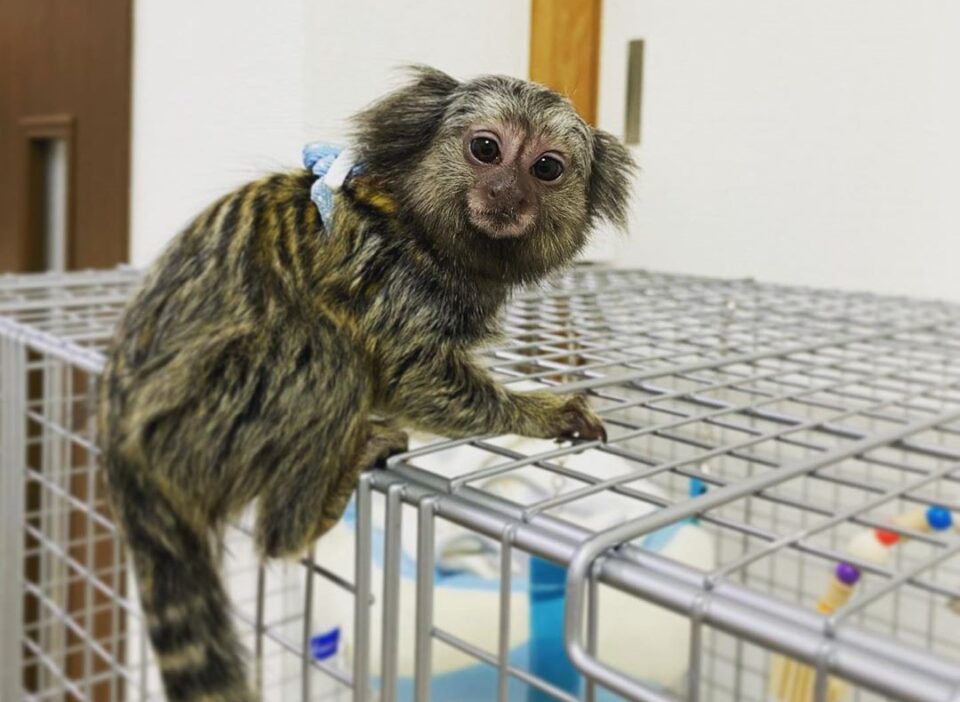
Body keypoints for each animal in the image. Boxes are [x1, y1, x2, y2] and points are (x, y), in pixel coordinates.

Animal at [96, 66, 634, 701]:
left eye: (547, 167)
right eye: (486, 149)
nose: (508, 192)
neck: (424, 231)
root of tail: (124, 450)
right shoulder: (392, 279)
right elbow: (413, 379)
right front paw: (544, 412)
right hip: (202, 423)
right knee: (326, 352)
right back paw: (310, 510)